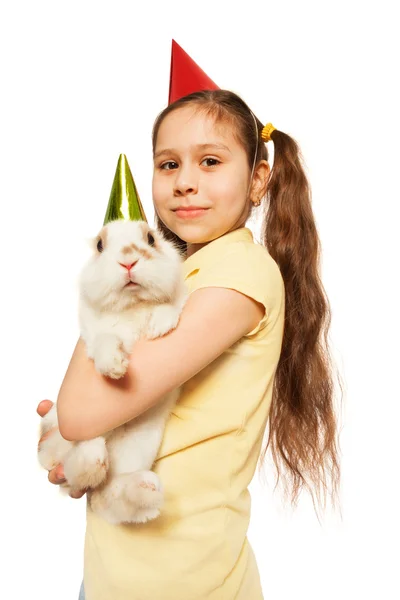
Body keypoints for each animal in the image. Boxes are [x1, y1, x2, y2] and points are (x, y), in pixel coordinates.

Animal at [37, 220, 188, 524]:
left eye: (151, 239)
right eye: (99, 245)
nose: (128, 262)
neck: (133, 304)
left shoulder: (181, 297)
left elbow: (171, 306)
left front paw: (159, 327)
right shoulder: (95, 334)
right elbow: (106, 340)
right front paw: (116, 368)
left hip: (136, 450)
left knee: (109, 494)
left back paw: (144, 488)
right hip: (59, 436)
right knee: (72, 468)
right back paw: (94, 458)